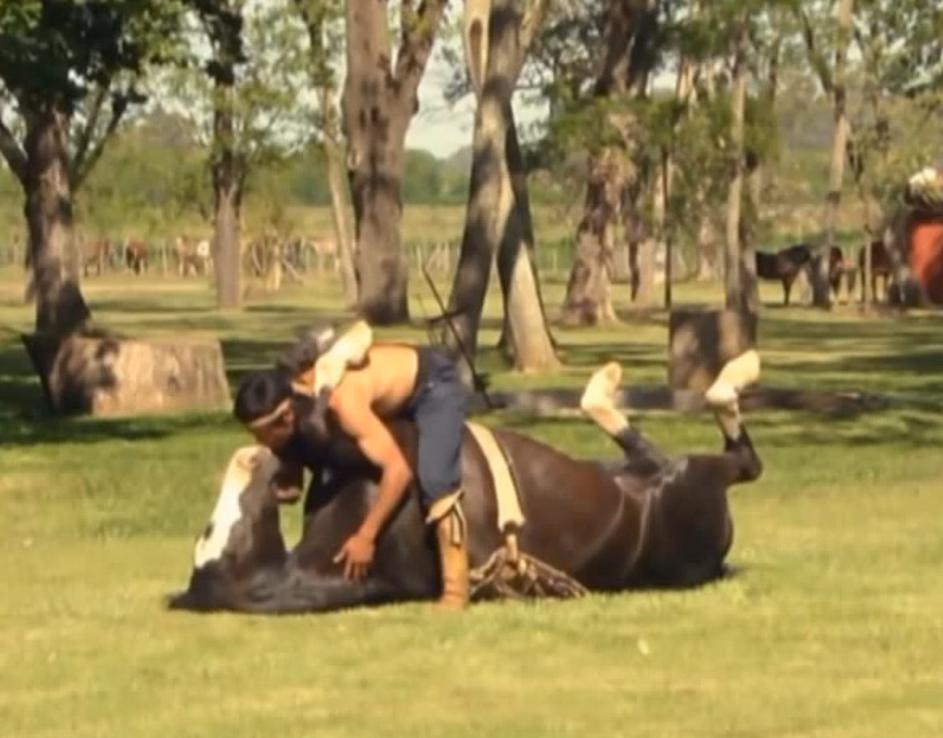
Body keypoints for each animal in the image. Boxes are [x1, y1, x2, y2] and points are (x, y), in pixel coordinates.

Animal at [169, 355, 763, 614]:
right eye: (209, 533)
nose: (252, 457)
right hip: (693, 482)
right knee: (741, 459)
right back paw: (731, 376)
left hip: (637, 468)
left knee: (643, 444)